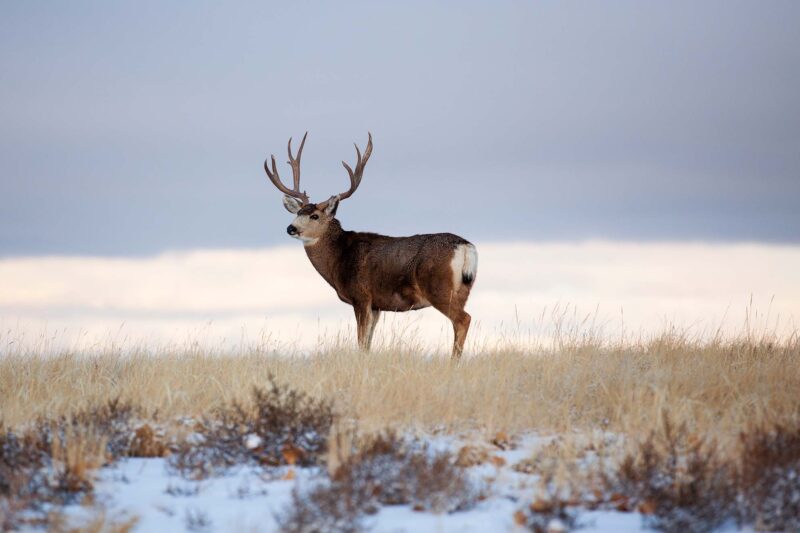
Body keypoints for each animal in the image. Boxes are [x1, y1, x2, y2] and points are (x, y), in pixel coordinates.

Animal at [263, 132, 478, 359]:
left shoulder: (361, 297)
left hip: (439, 288)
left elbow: (361, 341)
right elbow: (368, 344)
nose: (291, 228)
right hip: (463, 290)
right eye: (298, 212)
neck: (339, 257)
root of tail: (465, 246)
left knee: (463, 319)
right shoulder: (376, 306)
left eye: (314, 216)